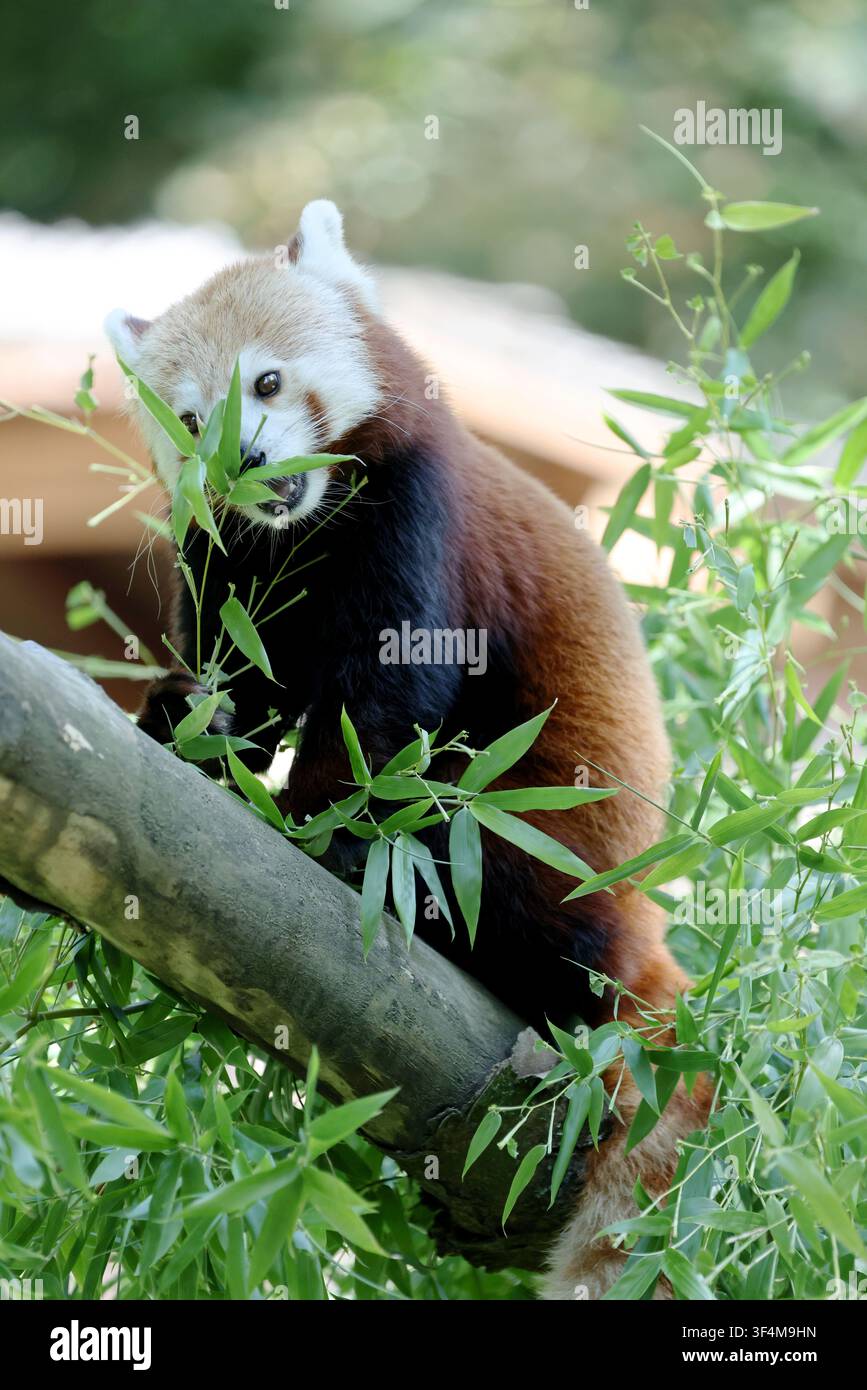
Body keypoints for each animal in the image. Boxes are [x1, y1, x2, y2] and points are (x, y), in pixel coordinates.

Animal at [105, 200, 709, 1299]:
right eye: (191, 420)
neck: (304, 533)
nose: (245, 464)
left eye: (266, 384)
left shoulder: (414, 519)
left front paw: (324, 827)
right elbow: (243, 677)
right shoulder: (230, 562)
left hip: (549, 833)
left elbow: (386, 708)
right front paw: (192, 728)